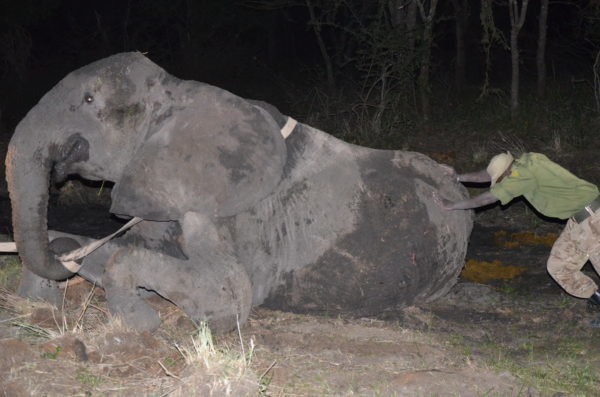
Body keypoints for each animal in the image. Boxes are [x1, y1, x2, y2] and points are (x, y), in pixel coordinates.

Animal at [4, 52, 474, 332]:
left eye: (88, 100)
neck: (179, 93)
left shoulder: (226, 209)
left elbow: (228, 294)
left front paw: (142, 324)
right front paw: (43, 292)